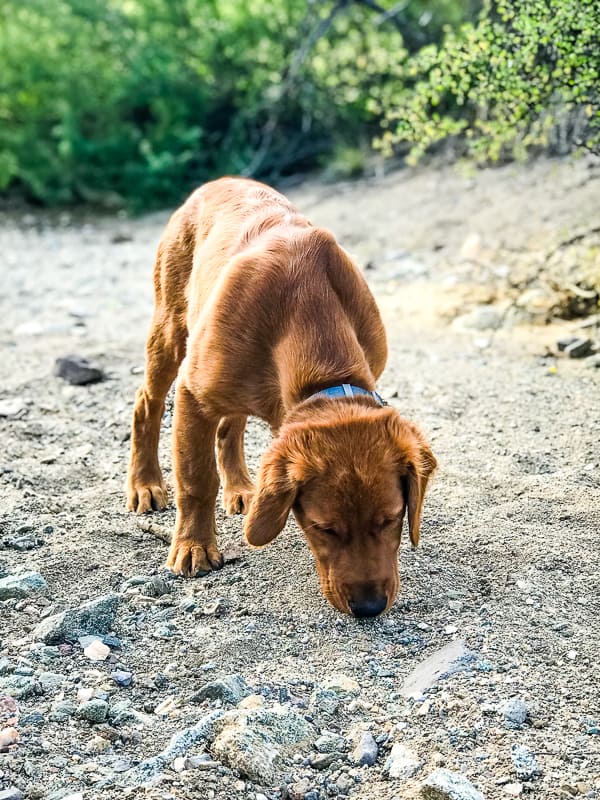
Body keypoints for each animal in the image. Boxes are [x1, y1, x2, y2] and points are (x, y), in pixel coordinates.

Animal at [126, 178, 436, 620]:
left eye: (391, 518)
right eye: (325, 527)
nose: (370, 607)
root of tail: (219, 181)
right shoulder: (193, 393)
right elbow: (197, 478)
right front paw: (194, 546)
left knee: (231, 425)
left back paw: (241, 488)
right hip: (169, 331)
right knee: (146, 405)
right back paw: (145, 484)